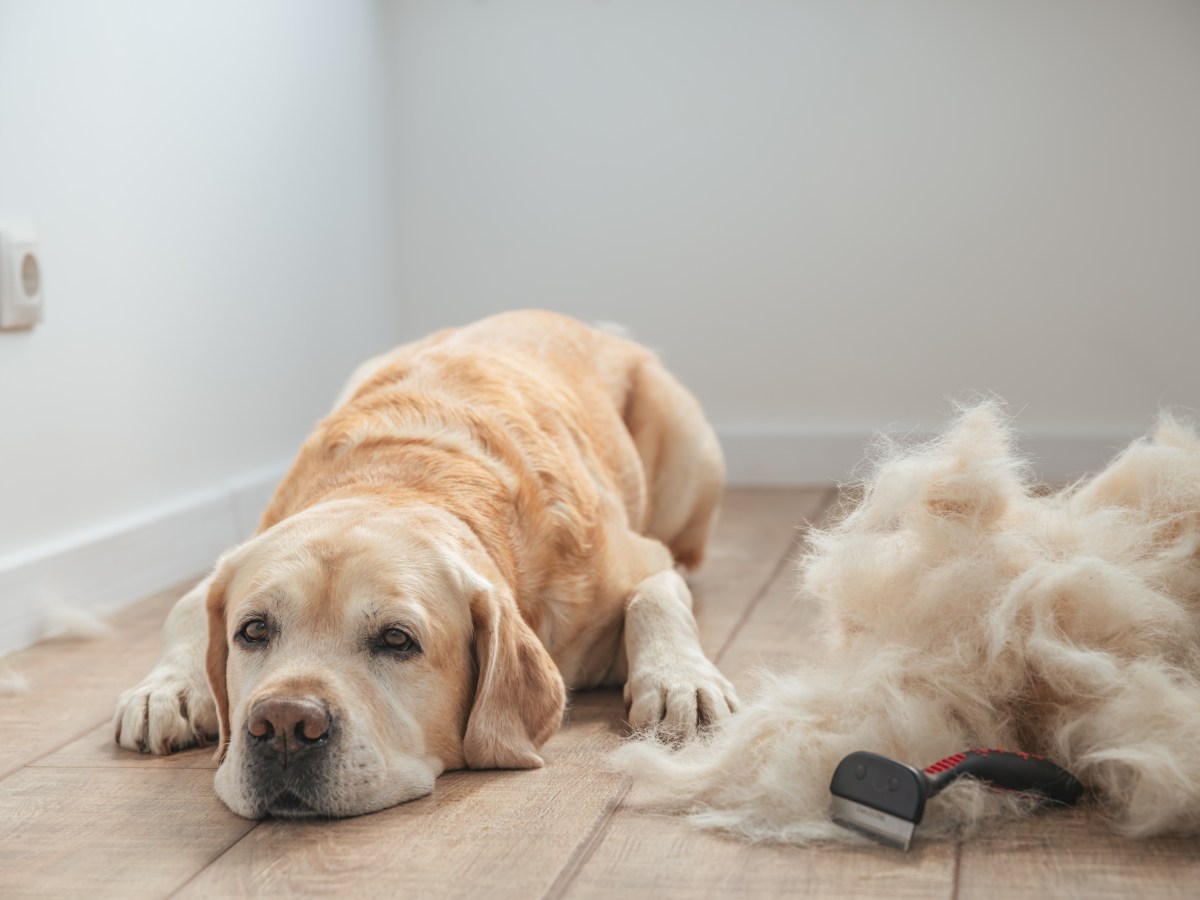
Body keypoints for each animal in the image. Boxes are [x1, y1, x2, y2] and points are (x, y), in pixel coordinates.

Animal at [112, 312, 734, 825]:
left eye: (397, 640)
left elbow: (655, 596)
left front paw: (682, 681)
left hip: (691, 456)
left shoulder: (644, 560)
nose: (284, 725)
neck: (400, 478)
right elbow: (186, 603)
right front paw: (165, 688)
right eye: (253, 630)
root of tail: (599, 328)